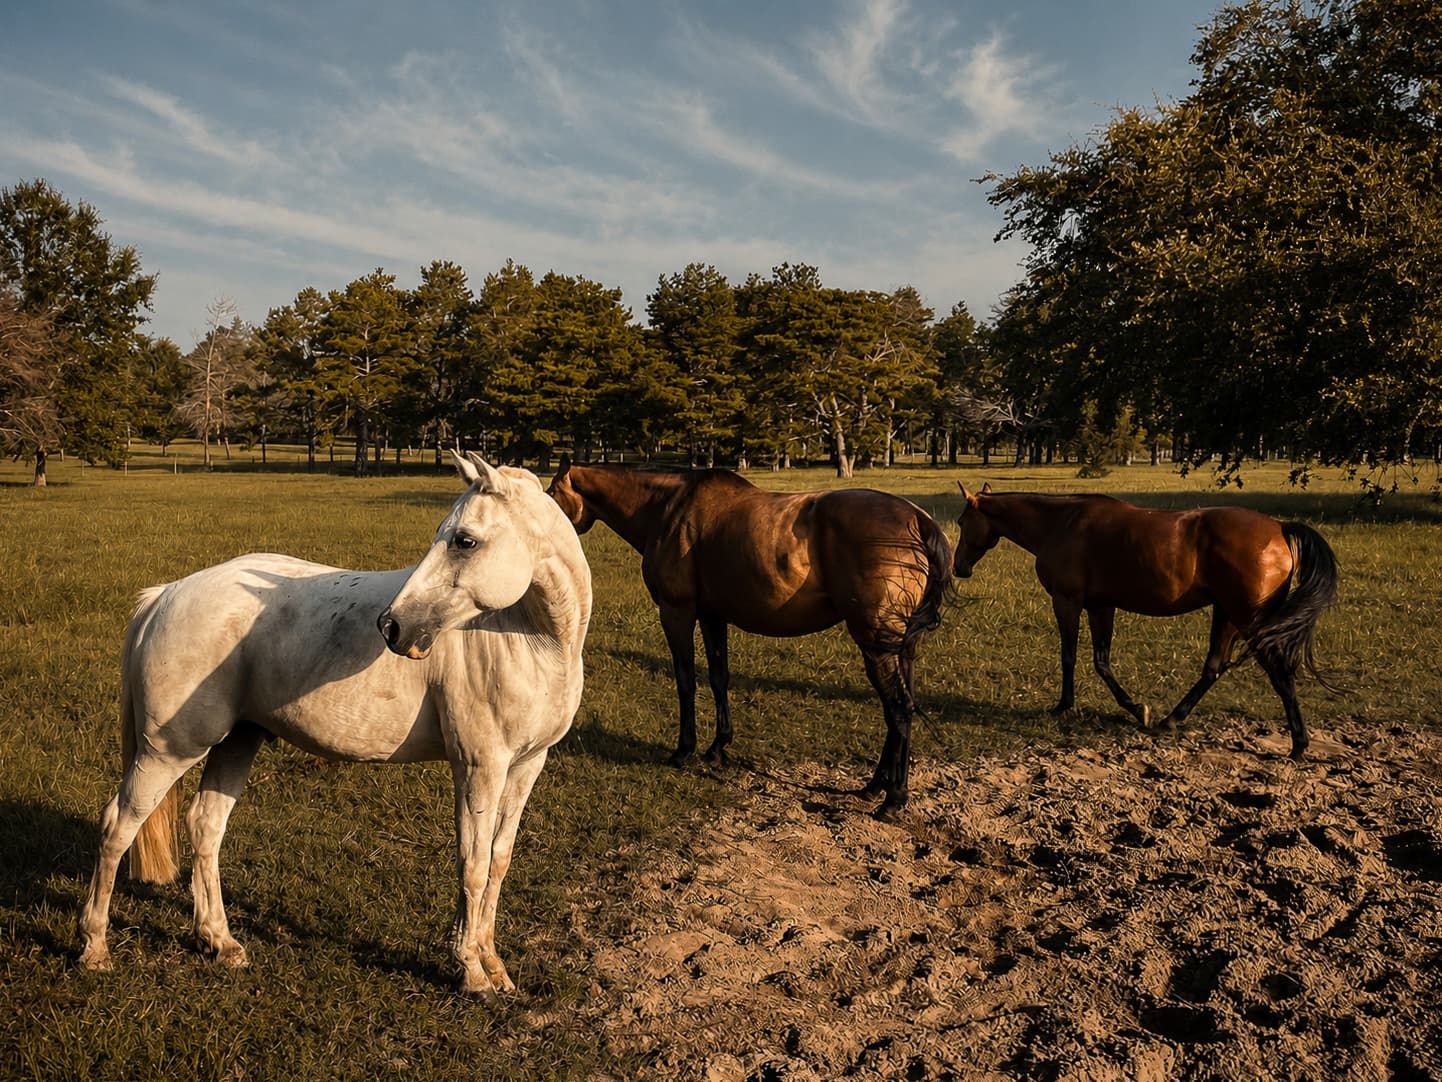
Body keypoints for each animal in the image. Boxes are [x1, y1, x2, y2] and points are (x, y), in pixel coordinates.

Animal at [77, 454, 591, 998]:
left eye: (465, 540)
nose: (392, 627)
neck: (530, 638)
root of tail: (165, 595)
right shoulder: (479, 767)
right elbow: (471, 866)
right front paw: (471, 972)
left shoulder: (525, 766)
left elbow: (497, 862)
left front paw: (494, 965)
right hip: (168, 751)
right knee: (117, 826)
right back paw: (94, 947)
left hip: (236, 742)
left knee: (205, 826)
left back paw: (220, 941)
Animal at [547, 460, 952, 818]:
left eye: (550, 494)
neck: (667, 508)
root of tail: (918, 520)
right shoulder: (712, 616)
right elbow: (718, 678)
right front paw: (717, 748)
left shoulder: (677, 613)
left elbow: (685, 680)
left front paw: (684, 750)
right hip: (899, 646)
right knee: (900, 707)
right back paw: (876, 785)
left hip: (876, 643)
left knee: (898, 708)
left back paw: (893, 798)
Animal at [953, 482, 1338, 758]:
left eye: (960, 522)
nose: (959, 567)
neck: (1061, 524)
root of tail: (1279, 527)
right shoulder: (1101, 607)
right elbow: (1101, 661)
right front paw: (1137, 709)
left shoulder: (1067, 601)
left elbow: (1070, 656)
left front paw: (1065, 705)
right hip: (1227, 614)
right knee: (1214, 667)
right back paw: (1172, 720)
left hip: (1247, 618)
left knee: (1278, 672)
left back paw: (1299, 744)